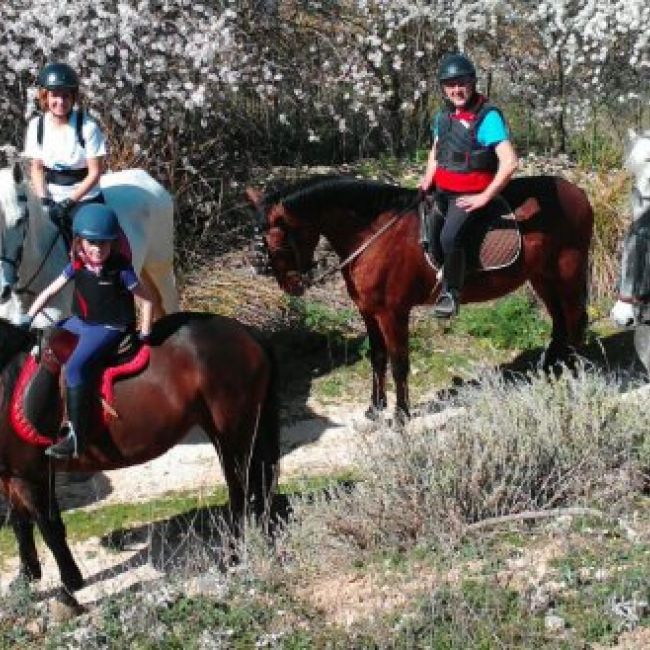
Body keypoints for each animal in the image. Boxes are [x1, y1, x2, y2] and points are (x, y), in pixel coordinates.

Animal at [0, 312, 276, 592]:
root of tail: (245, 331)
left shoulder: (31, 475)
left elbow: (49, 526)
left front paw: (70, 581)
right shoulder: (9, 475)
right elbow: (20, 524)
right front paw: (26, 577)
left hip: (232, 433)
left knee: (241, 489)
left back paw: (234, 553)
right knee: (256, 485)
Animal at [247, 175, 592, 416]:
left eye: (280, 244)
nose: (291, 287)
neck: (373, 234)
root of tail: (576, 191)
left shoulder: (393, 312)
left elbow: (399, 362)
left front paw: (400, 415)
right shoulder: (368, 311)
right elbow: (377, 357)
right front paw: (375, 408)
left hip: (568, 271)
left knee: (575, 320)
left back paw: (575, 376)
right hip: (543, 276)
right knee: (560, 320)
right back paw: (552, 370)